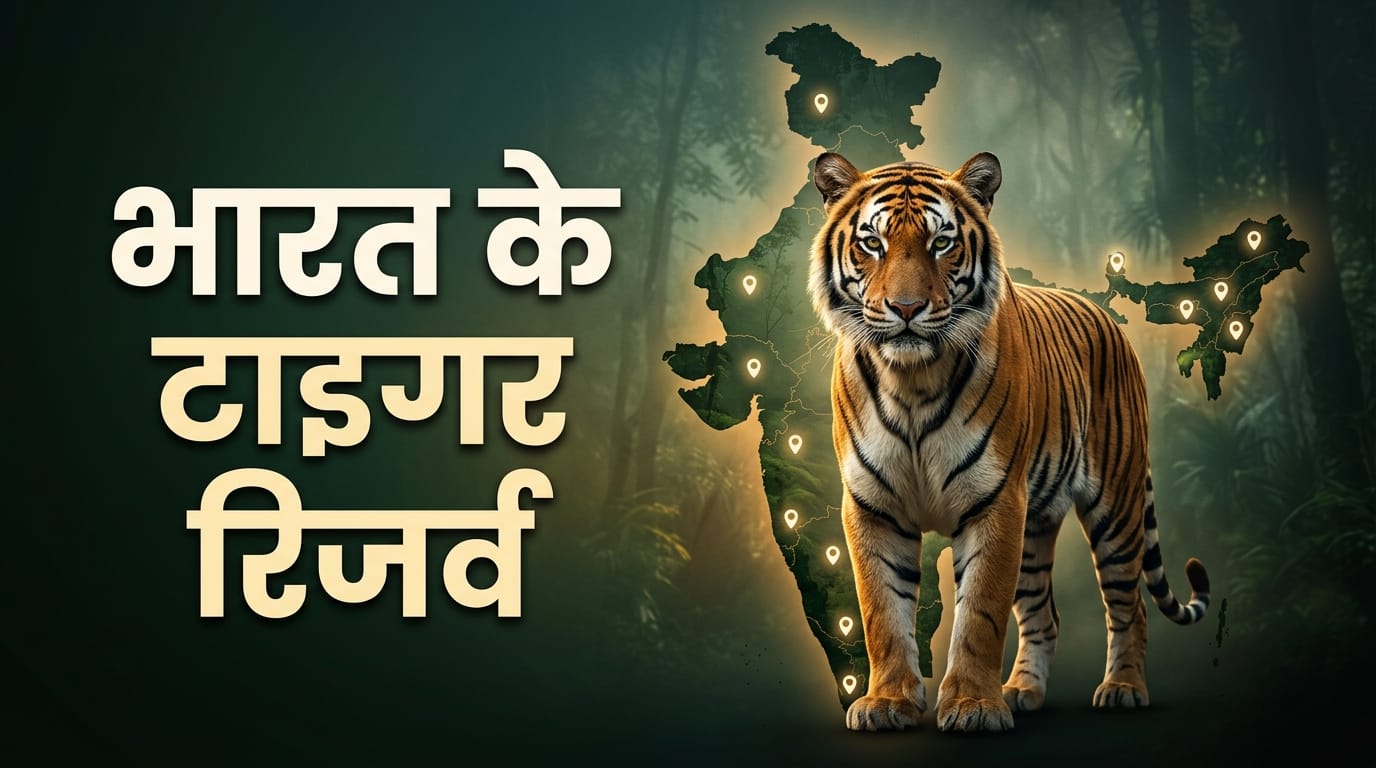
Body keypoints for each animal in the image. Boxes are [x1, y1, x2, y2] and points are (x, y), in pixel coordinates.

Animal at [809, 150, 1210, 733]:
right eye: (872, 243)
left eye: (941, 242)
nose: (905, 308)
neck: (911, 381)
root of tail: (1110, 321)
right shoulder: (872, 506)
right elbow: (881, 612)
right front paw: (888, 703)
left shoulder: (995, 501)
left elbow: (979, 614)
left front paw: (973, 707)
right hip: (1037, 524)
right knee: (1046, 614)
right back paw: (1023, 689)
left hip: (1116, 507)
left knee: (1129, 606)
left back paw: (1122, 688)